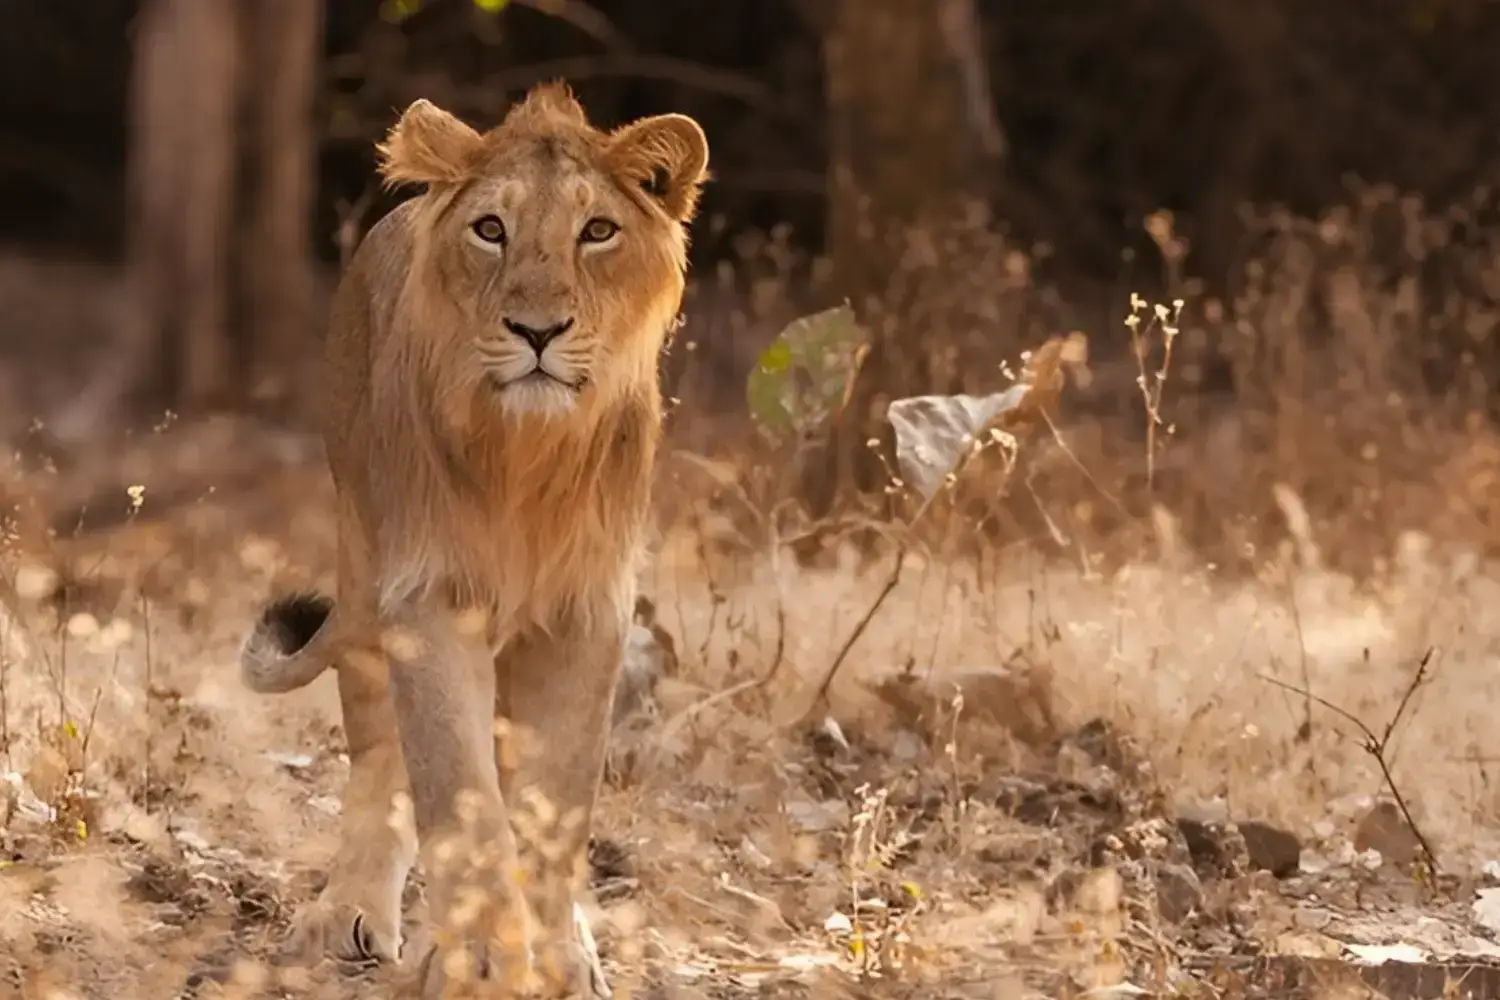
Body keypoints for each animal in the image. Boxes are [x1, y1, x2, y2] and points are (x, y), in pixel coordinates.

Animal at [237, 83, 708, 998]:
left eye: (598, 230)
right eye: (491, 228)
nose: (537, 330)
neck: (526, 456)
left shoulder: (585, 613)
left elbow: (555, 800)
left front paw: (558, 955)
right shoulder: (429, 598)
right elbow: (457, 788)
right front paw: (481, 953)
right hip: (362, 557)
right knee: (382, 756)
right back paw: (352, 915)